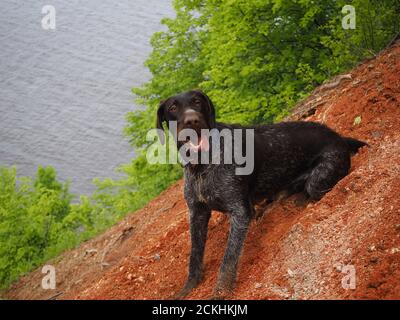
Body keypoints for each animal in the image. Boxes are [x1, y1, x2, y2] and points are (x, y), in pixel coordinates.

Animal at [155, 89, 366, 298]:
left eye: (197, 102)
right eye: (173, 107)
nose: (192, 120)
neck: (201, 166)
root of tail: (338, 136)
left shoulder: (240, 212)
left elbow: (229, 259)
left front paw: (221, 291)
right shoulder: (197, 213)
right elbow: (195, 255)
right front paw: (189, 287)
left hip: (321, 175)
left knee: (311, 188)